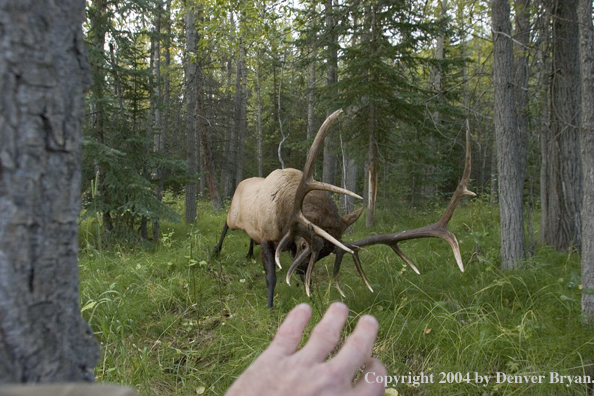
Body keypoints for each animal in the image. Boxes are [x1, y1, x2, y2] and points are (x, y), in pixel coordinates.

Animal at [213, 110, 472, 308]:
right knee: (225, 223)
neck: (286, 212)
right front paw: (269, 306)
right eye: (306, 244)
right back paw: (215, 251)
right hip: (234, 214)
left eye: (326, 254)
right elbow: (271, 277)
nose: (301, 269)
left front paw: (307, 293)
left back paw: (248, 253)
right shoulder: (268, 235)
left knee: (249, 237)